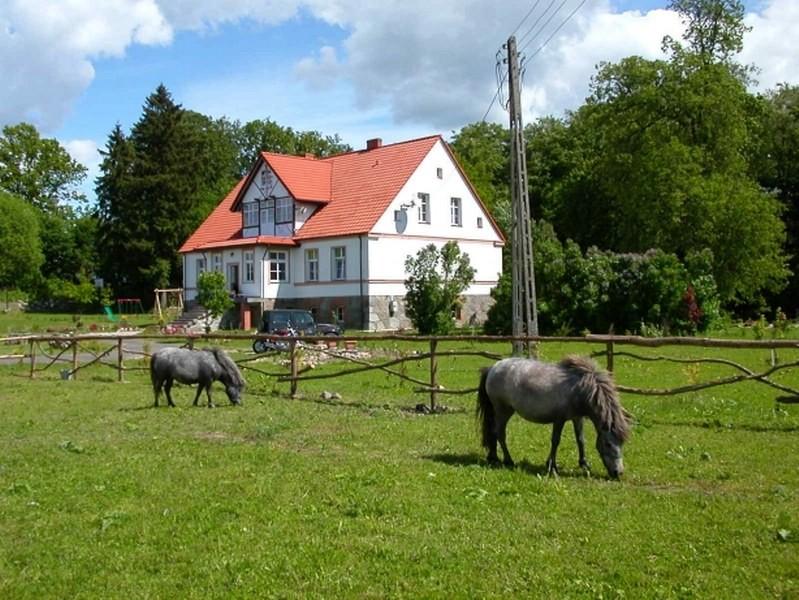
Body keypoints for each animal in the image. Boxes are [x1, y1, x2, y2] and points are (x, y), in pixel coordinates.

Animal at [478, 356, 628, 478]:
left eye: (622, 443)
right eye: (608, 444)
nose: (618, 473)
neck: (580, 389)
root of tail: (493, 367)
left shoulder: (577, 418)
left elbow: (580, 440)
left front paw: (583, 464)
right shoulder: (559, 420)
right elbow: (555, 441)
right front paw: (552, 467)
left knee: (493, 432)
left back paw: (493, 457)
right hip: (503, 411)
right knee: (499, 433)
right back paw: (508, 460)